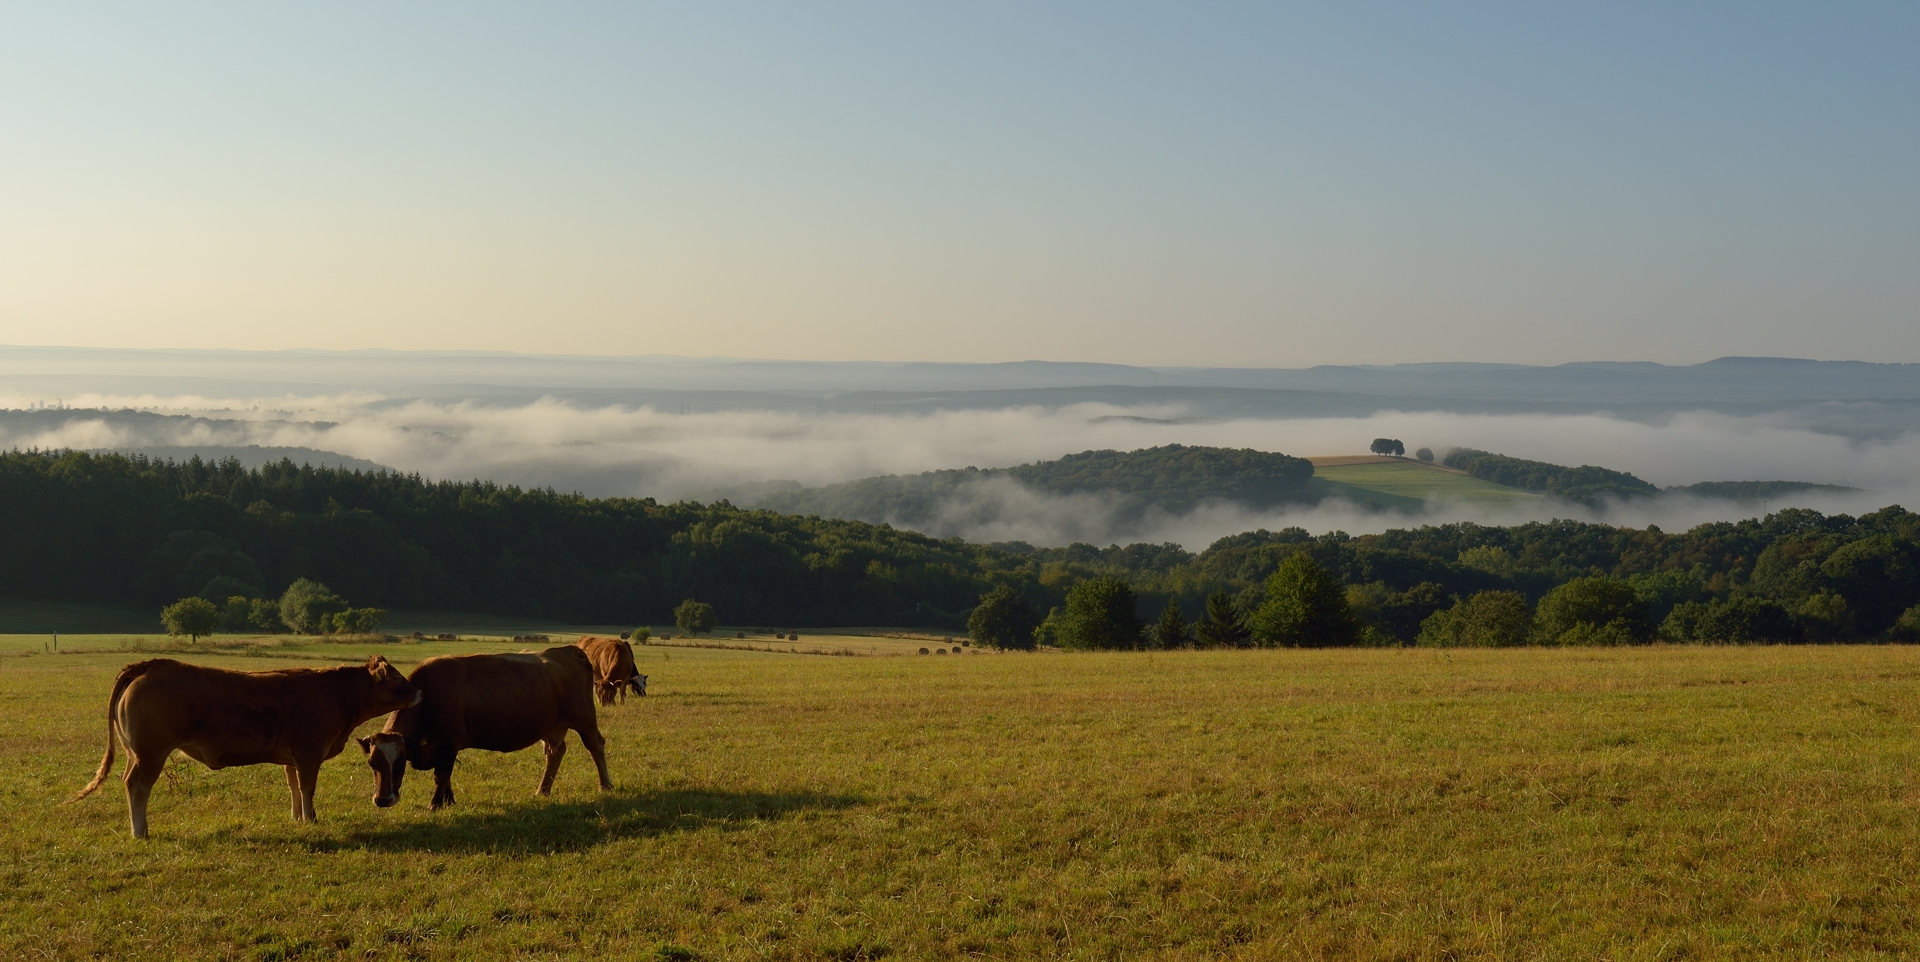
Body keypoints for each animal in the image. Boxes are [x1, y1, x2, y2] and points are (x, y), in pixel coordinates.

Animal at [73, 656, 416, 837]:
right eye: (398, 679)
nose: (419, 691)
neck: (334, 693)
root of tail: (149, 665)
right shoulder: (309, 753)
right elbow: (307, 788)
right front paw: (310, 818)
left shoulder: (291, 757)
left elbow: (293, 786)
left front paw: (296, 817)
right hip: (150, 754)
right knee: (137, 786)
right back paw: (140, 831)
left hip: (136, 754)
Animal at [355, 645, 606, 810]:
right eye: (372, 763)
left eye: (398, 764)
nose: (383, 800)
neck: (429, 694)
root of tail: (567, 650)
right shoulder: (442, 748)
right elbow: (446, 776)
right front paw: (448, 801)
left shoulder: (449, 742)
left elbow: (441, 774)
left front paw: (435, 804)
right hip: (552, 728)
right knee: (555, 753)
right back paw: (542, 790)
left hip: (585, 721)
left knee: (596, 747)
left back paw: (605, 785)